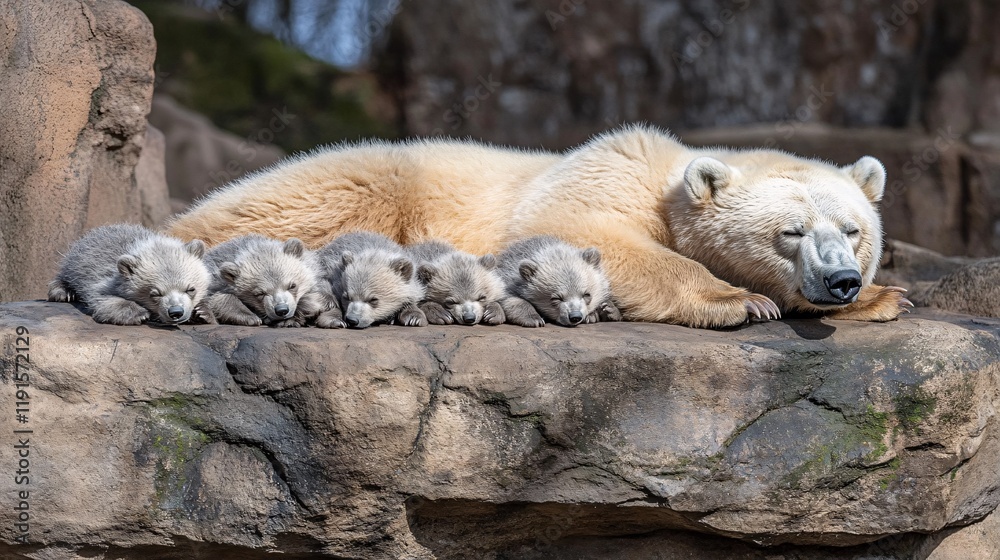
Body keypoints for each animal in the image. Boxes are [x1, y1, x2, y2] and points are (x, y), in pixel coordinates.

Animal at [48, 223, 212, 326]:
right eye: (155, 294)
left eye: (191, 289)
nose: (176, 312)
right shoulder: (103, 276)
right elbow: (100, 297)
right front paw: (138, 313)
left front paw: (201, 312)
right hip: (76, 262)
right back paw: (64, 292)